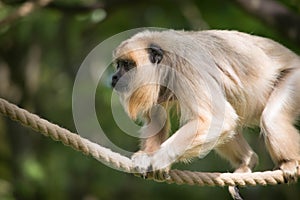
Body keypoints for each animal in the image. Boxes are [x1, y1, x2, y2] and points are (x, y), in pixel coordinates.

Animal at [110, 29, 300, 197]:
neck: (166, 61)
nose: (114, 77)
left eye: (127, 65)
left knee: (271, 119)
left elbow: (218, 119)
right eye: (118, 65)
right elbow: (156, 119)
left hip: (295, 77)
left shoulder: (188, 68)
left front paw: (157, 159)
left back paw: (290, 163)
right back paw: (247, 161)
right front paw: (146, 157)